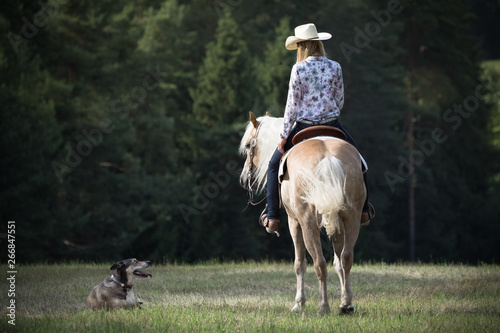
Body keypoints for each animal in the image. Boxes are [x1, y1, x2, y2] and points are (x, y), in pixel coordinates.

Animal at [240, 112, 366, 314]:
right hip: (351, 219)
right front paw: (346, 299)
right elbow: (338, 262)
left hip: (308, 225)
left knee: (319, 262)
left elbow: (299, 263)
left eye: (248, 146)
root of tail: (328, 158)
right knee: (346, 258)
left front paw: (299, 303)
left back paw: (323, 306)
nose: (243, 179)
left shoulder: (294, 221)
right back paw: (345, 305)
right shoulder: (338, 223)